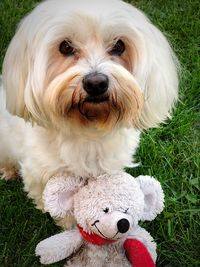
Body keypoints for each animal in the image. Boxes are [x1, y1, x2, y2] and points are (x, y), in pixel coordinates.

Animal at [0, 0, 178, 228]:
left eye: (119, 46)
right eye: (65, 47)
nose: (96, 83)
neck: (88, 129)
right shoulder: (40, 173)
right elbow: (53, 200)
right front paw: (70, 226)